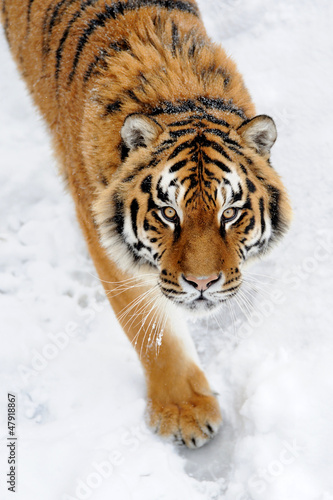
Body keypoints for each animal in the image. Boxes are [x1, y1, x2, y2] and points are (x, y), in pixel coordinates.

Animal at [0, 0, 290, 448]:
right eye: (169, 213)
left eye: (229, 213)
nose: (203, 283)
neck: (181, 96)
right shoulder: (105, 242)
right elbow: (153, 332)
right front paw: (185, 412)